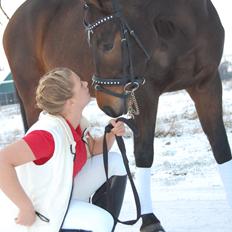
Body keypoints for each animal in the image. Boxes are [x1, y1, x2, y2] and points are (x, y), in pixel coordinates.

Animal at [2, 0, 231, 232]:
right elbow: (144, 153)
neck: (184, 27)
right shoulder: (145, 93)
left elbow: (221, 148)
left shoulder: (207, 84)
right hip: (33, 99)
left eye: (107, 45)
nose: (108, 106)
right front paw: (150, 221)